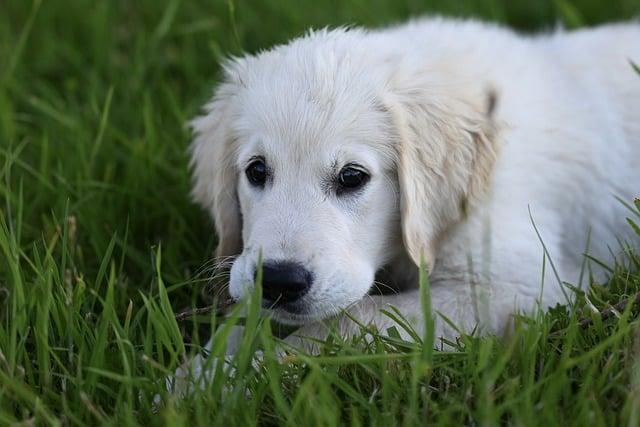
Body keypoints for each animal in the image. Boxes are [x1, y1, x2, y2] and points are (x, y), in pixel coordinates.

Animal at [188, 18, 636, 368]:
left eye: (352, 177)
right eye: (256, 170)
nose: (279, 281)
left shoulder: (518, 289)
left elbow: (349, 319)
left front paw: (238, 378)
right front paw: (199, 374)